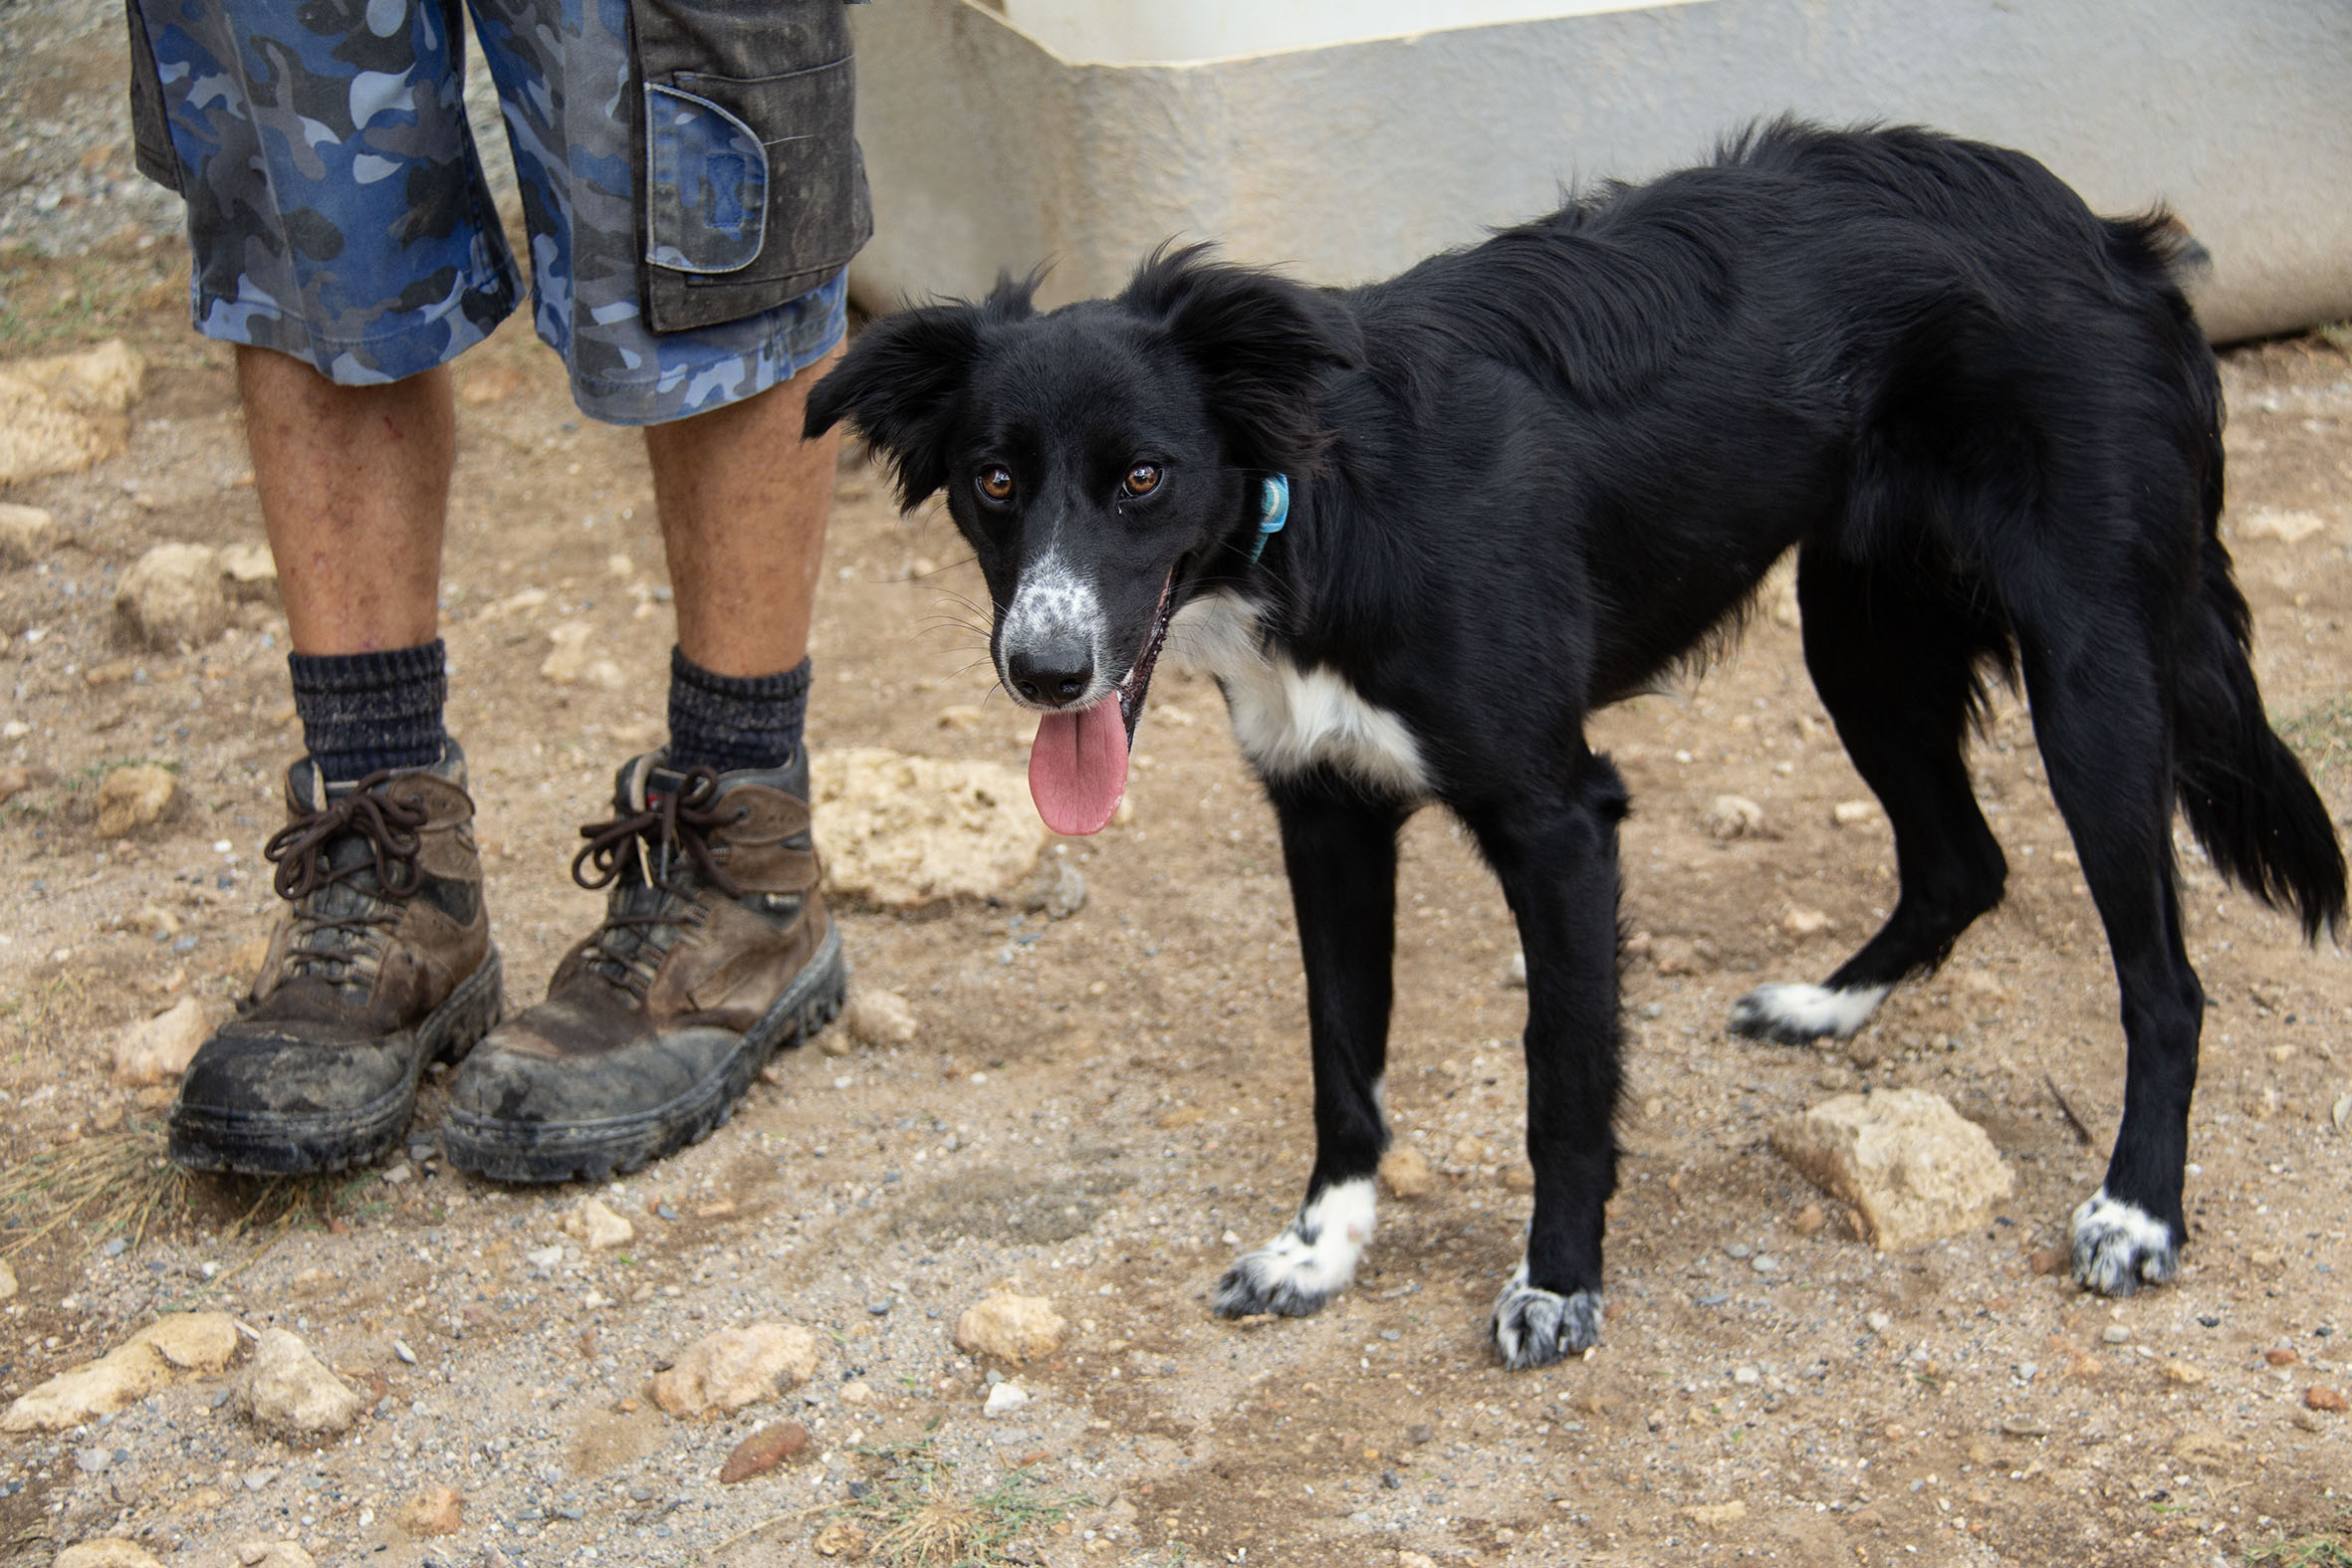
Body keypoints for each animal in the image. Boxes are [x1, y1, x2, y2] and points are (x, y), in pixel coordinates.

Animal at [805, 120, 2345, 1369]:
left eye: (1142, 477)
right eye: (992, 482)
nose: (1043, 667)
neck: (1319, 513)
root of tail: (2103, 232)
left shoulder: (1559, 820)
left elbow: (1560, 1073)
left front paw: (1555, 1284)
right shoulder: (1325, 811)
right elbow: (1341, 1058)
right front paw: (1319, 1250)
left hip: (2092, 679)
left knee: (2163, 981)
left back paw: (2136, 1209)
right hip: (1855, 635)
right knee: (1963, 858)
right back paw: (1827, 1005)